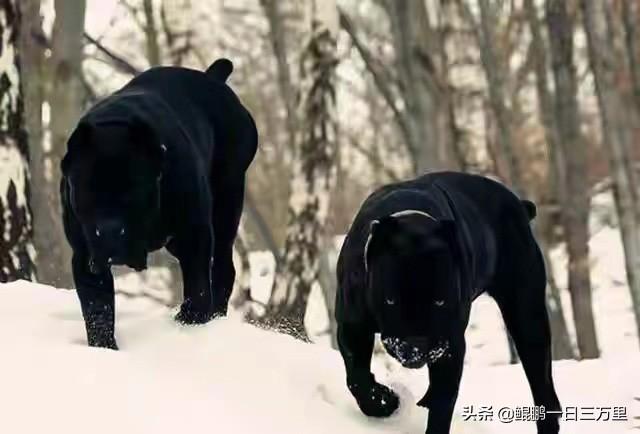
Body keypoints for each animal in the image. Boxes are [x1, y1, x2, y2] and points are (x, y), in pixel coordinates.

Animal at [60, 58, 258, 350]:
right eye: (86, 192)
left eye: (133, 191)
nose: (108, 231)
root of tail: (214, 79)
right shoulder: (85, 257)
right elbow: (98, 311)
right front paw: (105, 349)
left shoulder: (195, 235)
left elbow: (198, 288)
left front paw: (190, 322)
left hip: (226, 205)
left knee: (223, 270)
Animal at [336, 172, 560, 434]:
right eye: (390, 300)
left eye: (440, 302)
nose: (417, 345)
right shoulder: (352, 326)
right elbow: (357, 378)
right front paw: (385, 402)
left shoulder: (451, 346)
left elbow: (443, 405)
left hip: (527, 316)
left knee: (542, 385)